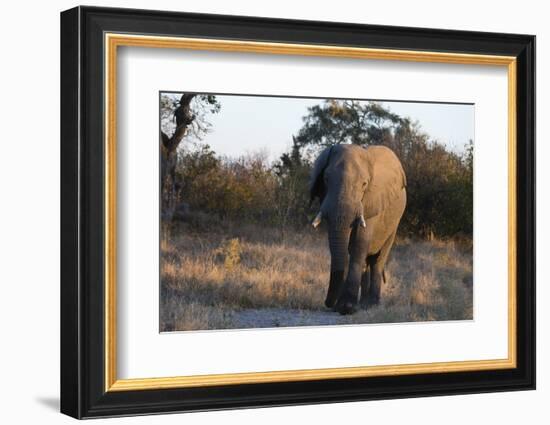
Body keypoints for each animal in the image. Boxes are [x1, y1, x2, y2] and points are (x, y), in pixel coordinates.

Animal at [312, 144, 408, 314]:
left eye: (364, 184)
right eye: (326, 179)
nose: (328, 303)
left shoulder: (372, 202)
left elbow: (359, 243)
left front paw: (347, 308)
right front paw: (342, 306)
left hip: (395, 223)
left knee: (378, 259)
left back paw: (371, 305)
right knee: (367, 261)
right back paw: (363, 304)